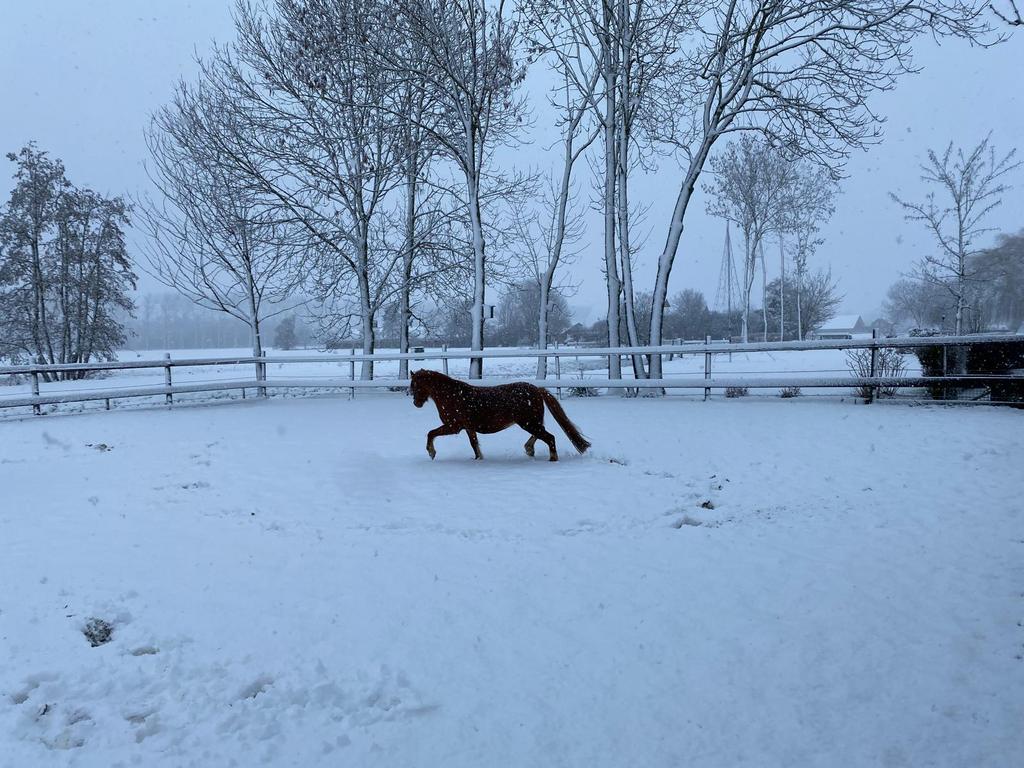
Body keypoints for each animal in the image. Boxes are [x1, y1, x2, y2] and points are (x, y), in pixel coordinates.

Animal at [409, 369, 592, 462]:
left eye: (416, 385)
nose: (416, 403)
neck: (452, 396)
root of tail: (537, 389)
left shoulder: (454, 426)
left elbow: (431, 433)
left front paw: (431, 452)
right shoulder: (469, 428)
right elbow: (474, 444)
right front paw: (478, 459)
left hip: (528, 422)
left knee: (549, 437)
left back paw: (552, 459)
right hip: (531, 422)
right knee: (540, 435)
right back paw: (529, 450)